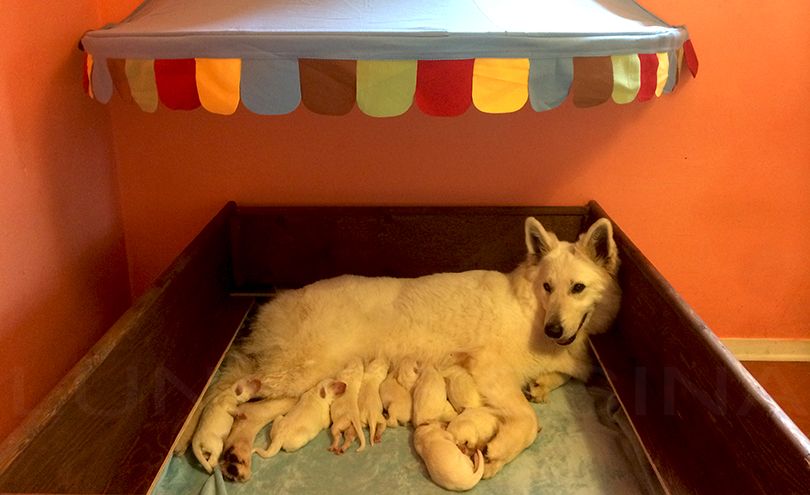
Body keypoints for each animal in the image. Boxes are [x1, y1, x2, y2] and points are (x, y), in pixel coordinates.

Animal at [183, 217, 620, 480]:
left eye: (577, 288)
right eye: (548, 286)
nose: (554, 328)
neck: (531, 309)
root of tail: (275, 300)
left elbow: (564, 375)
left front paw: (544, 384)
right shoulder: (490, 369)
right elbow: (527, 420)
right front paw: (498, 452)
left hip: (306, 385)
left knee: (249, 413)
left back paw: (236, 456)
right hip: (293, 372)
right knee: (222, 393)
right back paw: (206, 444)